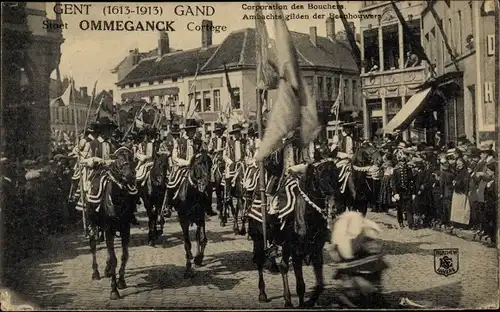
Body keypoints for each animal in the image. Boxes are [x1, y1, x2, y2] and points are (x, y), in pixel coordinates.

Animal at [85, 147, 137, 302]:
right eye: (118, 160)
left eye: (132, 158)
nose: (129, 176)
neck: (117, 200)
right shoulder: (108, 229)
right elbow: (114, 258)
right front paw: (114, 290)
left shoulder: (125, 229)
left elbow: (124, 255)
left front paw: (121, 281)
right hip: (92, 224)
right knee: (93, 246)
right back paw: (96, 272)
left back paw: (107, 270)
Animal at [249, 158, 342, 308]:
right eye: (321, 177)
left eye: (337, 176)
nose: (336, 206)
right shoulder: (297, 251)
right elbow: (300, 285)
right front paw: (303, 303)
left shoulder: (316, 250)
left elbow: (320, 284)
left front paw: (310, 301)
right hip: (259, 239)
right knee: (260, 262)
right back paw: (262, 294)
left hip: (285, 246)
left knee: (283, 266)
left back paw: (287, 299)